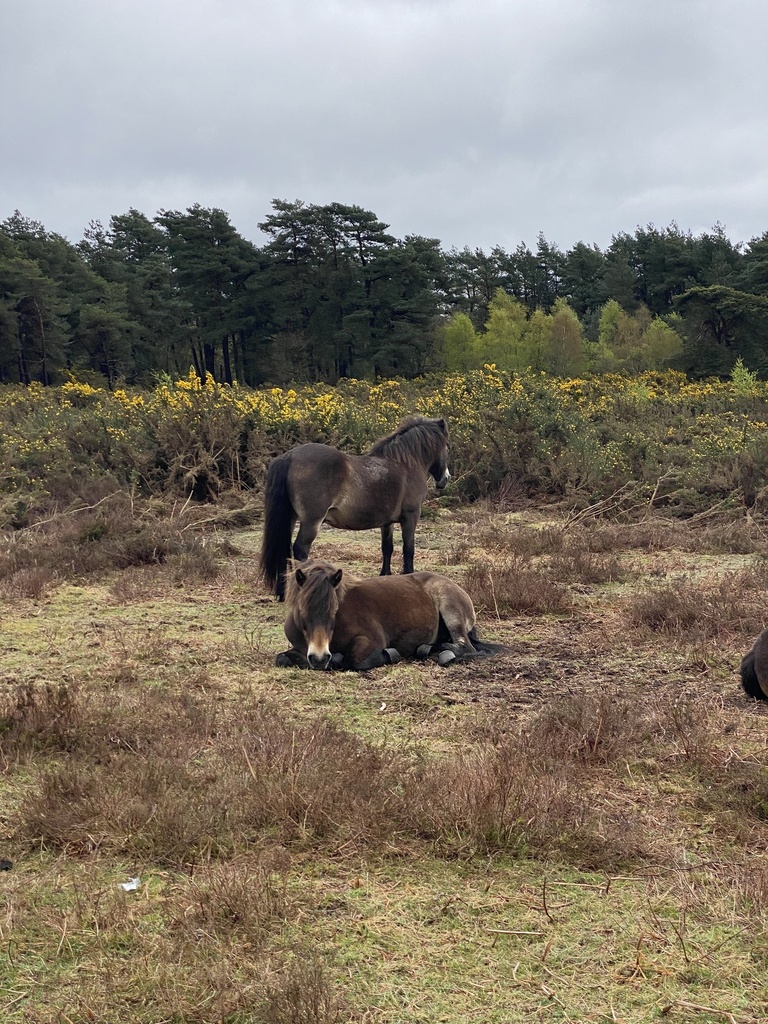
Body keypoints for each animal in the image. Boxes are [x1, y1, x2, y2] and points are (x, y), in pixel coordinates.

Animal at [259, 416, 450, 600]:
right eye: (447, 447)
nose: (445, 479)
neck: (405, 464)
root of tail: (290, 456)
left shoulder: (386, 522)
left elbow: (387, 548)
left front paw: (385, 576)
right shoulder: (411, 516)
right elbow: (408, 549)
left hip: (290, 518)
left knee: (284, 550)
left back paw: (282, 593)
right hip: (311, 521)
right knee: (300, 549)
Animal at [275, 558, 501, 671]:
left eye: (334, 610)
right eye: (302, 611)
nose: (320, 658)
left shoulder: (371, 641)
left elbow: (354, 661)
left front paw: (390, 654)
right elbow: (282, 658)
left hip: (451, 610)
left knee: (464, 646)